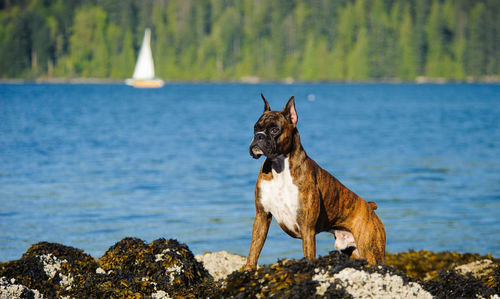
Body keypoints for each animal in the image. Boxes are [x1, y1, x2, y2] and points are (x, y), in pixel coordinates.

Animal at [246, 94, 386, 270]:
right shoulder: (262, 216)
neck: (279, 167)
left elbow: (308, 254)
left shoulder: (307, 228)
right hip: (355, 252)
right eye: (255, 127)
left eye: (274, 129)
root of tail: (369, 207)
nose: (258, 136)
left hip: (372, 251)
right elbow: (253, 250)